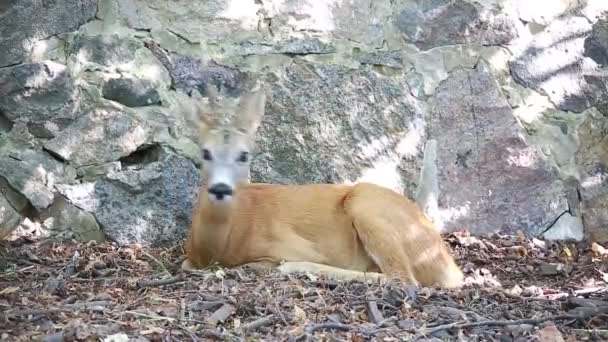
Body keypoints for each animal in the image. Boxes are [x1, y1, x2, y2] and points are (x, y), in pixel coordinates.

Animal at [180, 81, 466, 288]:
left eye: (244, 155)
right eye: (205, 152)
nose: (220, 188)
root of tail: (450, 266)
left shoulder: (285, 245)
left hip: (366, 205)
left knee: (403, 278)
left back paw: (298, 268)